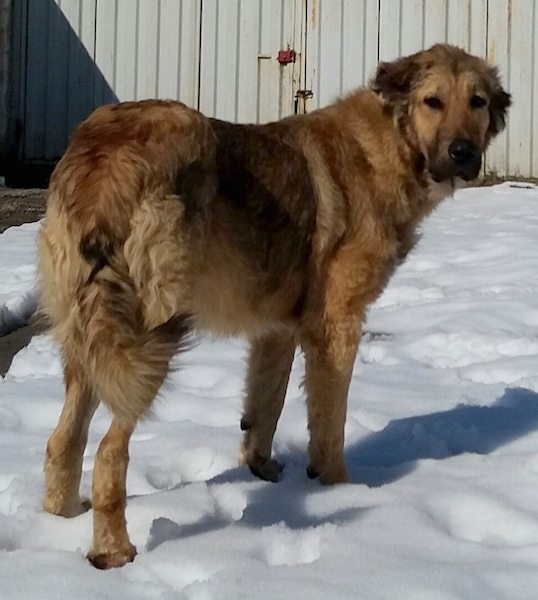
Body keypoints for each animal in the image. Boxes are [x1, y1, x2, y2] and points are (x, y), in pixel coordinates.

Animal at [36, 43, 506, 568]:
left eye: (477, 102)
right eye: (433, 102)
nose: (463, 153)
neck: (391, 144)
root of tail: (108, 153)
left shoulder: (275, 328)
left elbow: (266, 404)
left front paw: (261, 470)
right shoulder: (336, 324)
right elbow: (329, 420)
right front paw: (336, 485)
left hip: (89, 335)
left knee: (64, 439)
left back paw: (59, 518)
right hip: (145, 338)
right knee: (108, 451)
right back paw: (114, 551)